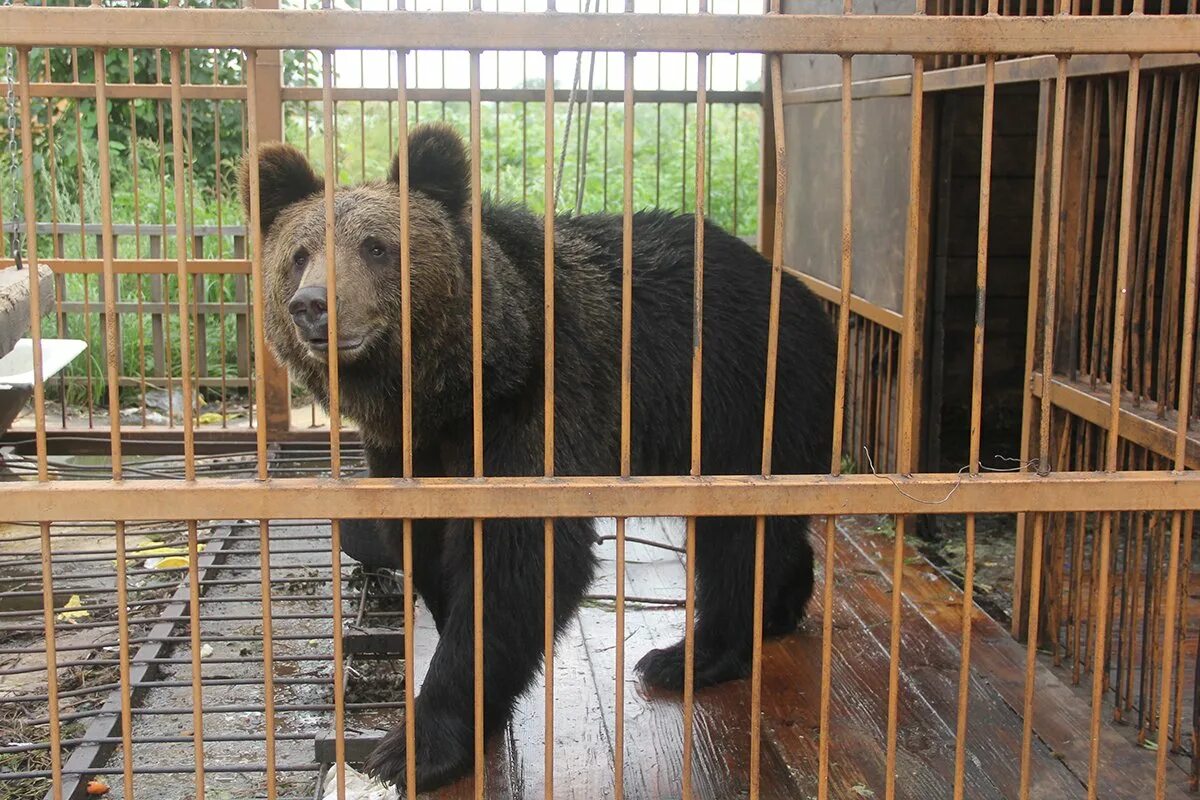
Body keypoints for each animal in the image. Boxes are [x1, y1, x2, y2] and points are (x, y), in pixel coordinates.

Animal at [238, 125, 830, 796]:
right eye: (298, 253)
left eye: (376, 247)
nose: (313, 305)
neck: (456, 388)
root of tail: (799, 290)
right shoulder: (409, 450)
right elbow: (427, 543)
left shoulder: (543, 403)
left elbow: (519, 562)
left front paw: (412, 745)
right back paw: (779, 607)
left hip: (748, 397)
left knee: (738, 533)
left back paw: (688, 654)